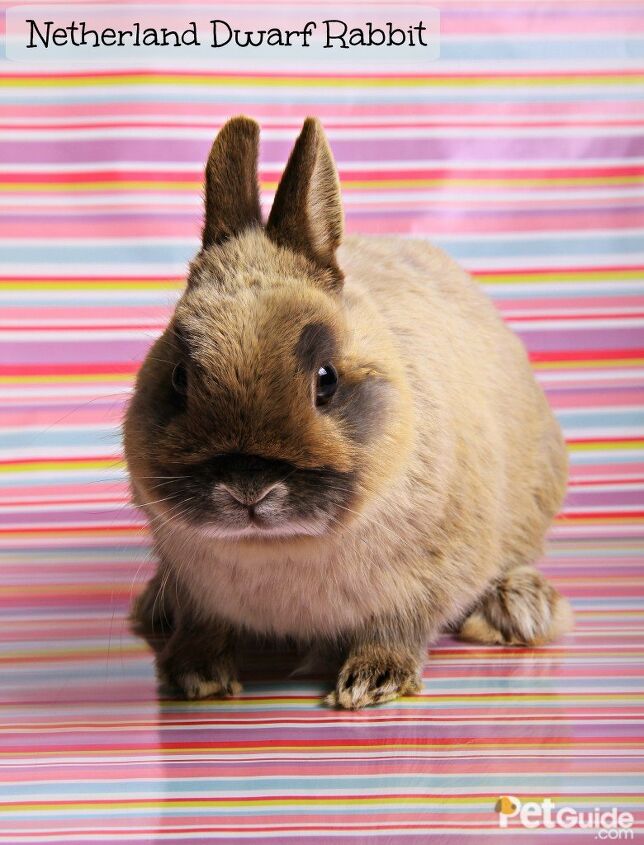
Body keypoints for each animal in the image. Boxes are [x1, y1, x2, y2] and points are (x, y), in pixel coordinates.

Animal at [124, 116, 573, 710]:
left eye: (326, 379)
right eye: (179, 377)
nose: (248, 486)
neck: (276, 547)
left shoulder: (426, 580)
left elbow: (397, 627)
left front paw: (372, 681)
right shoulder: (198, 591)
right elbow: (204, 626)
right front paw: (196, 675)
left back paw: (518, 609)